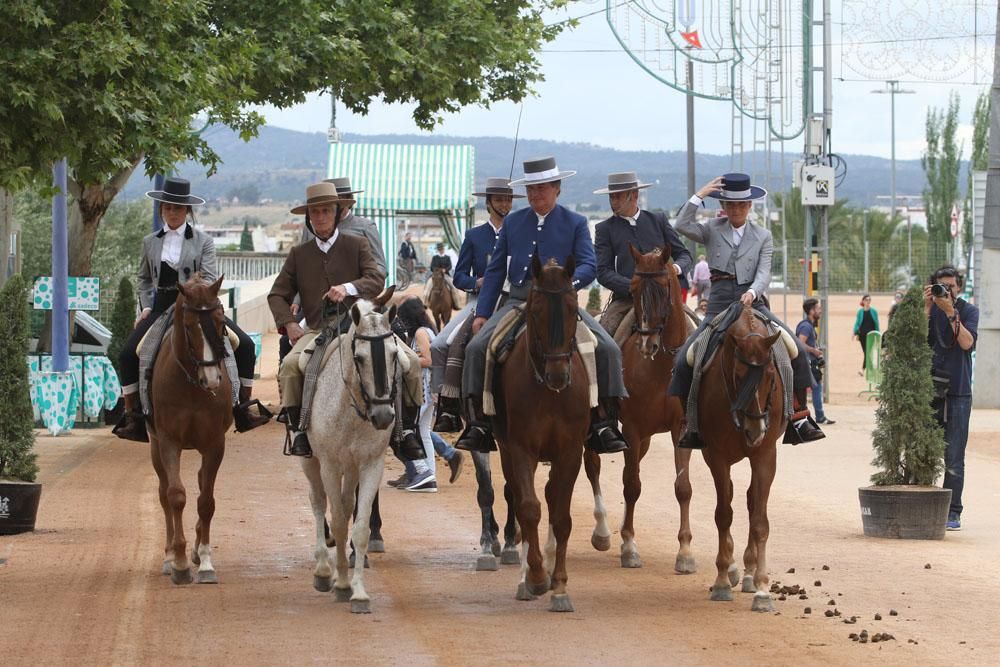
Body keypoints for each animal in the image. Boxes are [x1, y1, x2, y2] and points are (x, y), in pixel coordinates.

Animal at [148, 276, 232, 584]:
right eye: (188, 326)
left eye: (221, 321)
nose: (212, 378)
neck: (192, 386)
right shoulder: (168, 441)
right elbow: (176, 496)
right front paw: (180, 562)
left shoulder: (215, 444)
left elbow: (206, 501)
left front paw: (205, 561)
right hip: (154, 446)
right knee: (163, 493)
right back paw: (169, 556)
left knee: (200, 483)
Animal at [298, 290, 404, 612]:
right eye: (359, 358)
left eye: (394, 355)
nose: (383, 416)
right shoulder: (329, 465)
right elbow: (337, 522)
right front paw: (341, 583)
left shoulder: (370, 464)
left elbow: (358, 528)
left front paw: (358, 591)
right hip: (311, 462)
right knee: (319, 502)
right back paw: (323, 569)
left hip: (352, 467)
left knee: (344, 505)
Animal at [494, 258, 592, 616]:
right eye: (535, 311)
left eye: (573, 308)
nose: (558, 375)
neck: (549, 393)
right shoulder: (521, 448)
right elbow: (529, 508)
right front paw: (536, 577)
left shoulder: (571, 451)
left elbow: (561, 517)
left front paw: (559, 586)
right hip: (506, 450)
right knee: (520, 498)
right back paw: (527, 576)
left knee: (550, 496)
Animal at [584, 245, 696, 576]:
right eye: (632, 289)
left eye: (664, 287)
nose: (648, 342)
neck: (661, 366)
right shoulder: (632, 428)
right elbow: (631, 486)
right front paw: (629, 547)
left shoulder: (679, 428)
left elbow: (682, 487)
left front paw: (685, 553)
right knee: (593, 466)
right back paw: (603, 533)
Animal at [692, 306, 784, 612]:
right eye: (738, 375)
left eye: (770, 374)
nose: (755, 429)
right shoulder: (716, 456)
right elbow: (723, 515)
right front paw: (722, 580)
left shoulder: (765, 455)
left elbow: (760, 521)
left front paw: (763, 589)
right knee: (731, 500)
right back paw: (733, 571)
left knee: (751, 501)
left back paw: (748, 573)